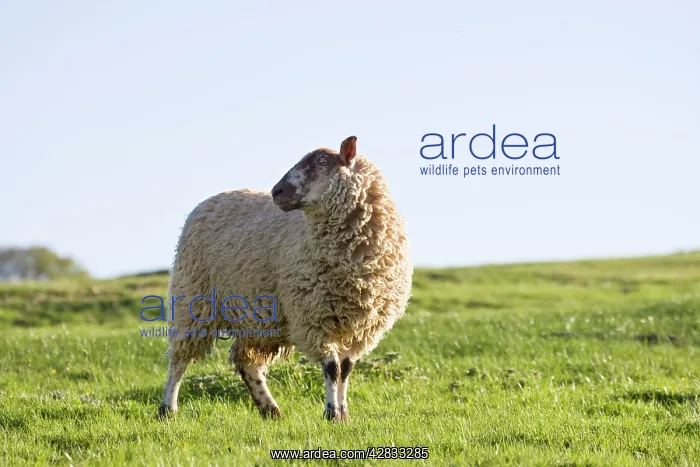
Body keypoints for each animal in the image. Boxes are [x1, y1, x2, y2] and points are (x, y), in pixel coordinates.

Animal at [159, 136, 413, 422]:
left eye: (322, 161)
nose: (276, 192)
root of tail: (210, 200)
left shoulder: (362, 326)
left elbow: (346, 369)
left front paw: (344, 415)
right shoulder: (313, 316)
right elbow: (332, 368)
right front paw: (331, 414)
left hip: (257, 318)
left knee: (246, 363)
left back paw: (269, 408)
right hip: (192, 298)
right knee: (179, 359)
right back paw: (167, 408)